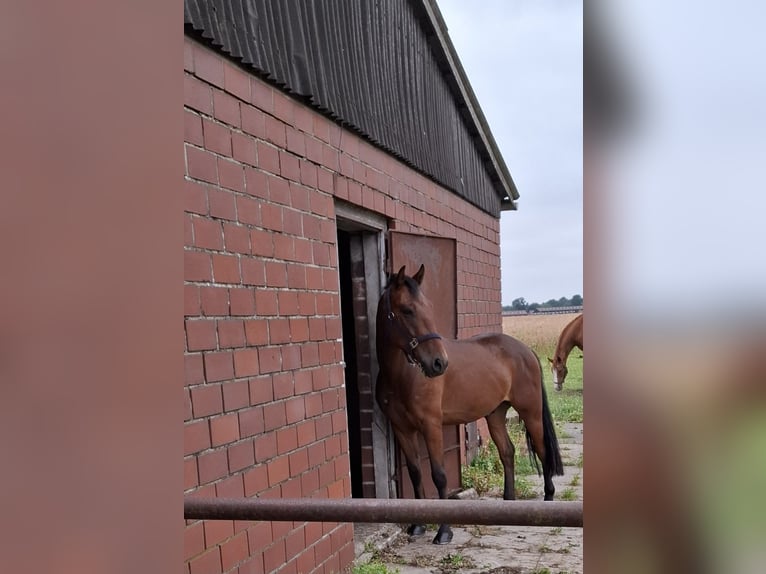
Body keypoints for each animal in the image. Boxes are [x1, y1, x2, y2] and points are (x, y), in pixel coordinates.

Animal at [375, 264, 564, 545]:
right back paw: (509, 504)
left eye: (428, 307)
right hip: (495, 415)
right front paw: (418, 526)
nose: (439, 363)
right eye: (407, 310)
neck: (402, 376)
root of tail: (526, 350)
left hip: (531, 413)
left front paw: (444, 531)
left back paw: (548, 500)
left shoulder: (431, 426)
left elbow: (439, 476)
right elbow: (416, 473)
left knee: (543, 452)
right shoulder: (402, 429)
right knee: (507, 452)